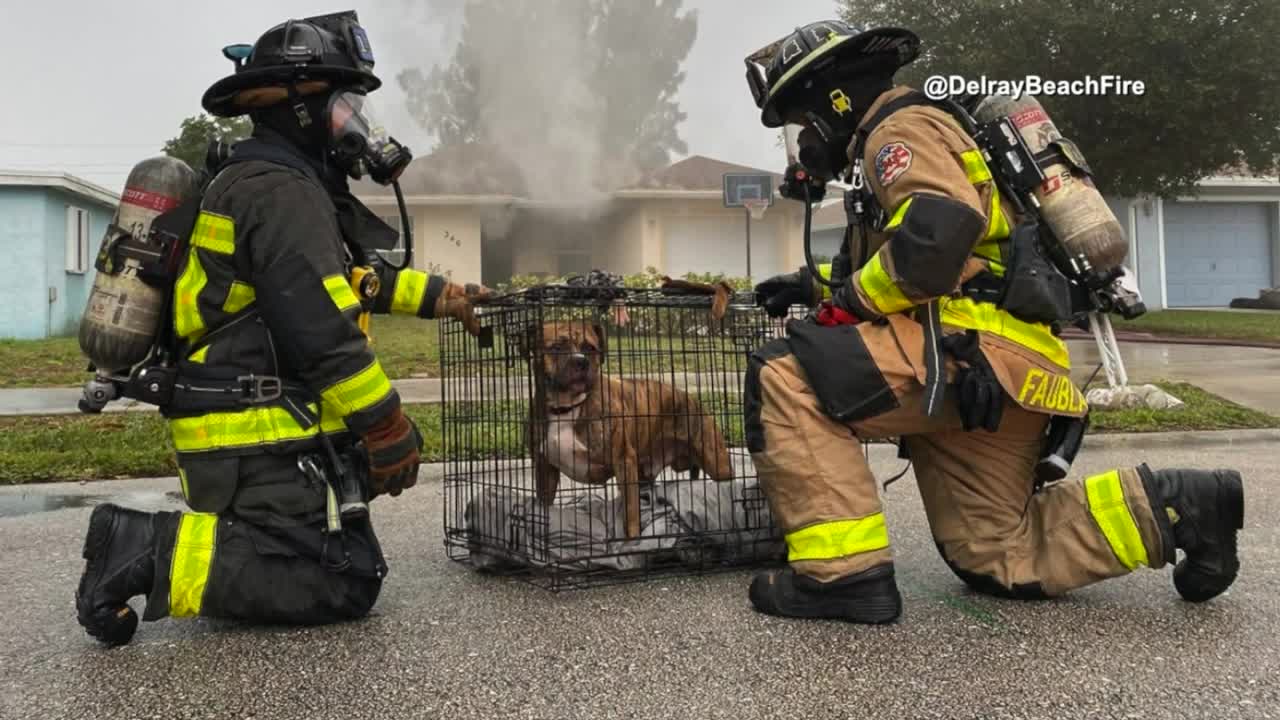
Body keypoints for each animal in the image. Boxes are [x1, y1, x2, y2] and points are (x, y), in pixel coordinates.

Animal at [519, 322, 737, 535]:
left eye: (590, 348)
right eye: (556, 347)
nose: (581, 361)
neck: (566, 408)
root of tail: (691, 398)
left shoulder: (624, 462)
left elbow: (631, 514)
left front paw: (631, 540)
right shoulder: (545, 467)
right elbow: (544, 504)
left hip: (717, 463)